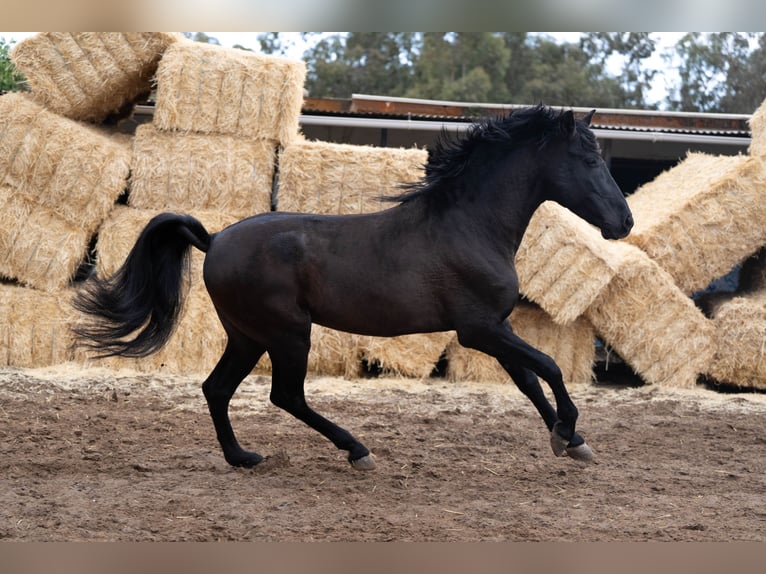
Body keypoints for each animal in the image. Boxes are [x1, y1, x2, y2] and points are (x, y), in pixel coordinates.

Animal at [72, 104, 636, 472]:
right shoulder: (478, 329)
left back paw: (243, 457)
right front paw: (568, 432)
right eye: (590, 161)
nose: (624, 223)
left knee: (217, 388)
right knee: (285, 395)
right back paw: (356, 451)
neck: (468, 226)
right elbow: (550, 367)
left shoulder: (492, 328)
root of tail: (215, 240)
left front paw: (572, 442)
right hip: (288, 334)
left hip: (248, 336)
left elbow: (529, 381)